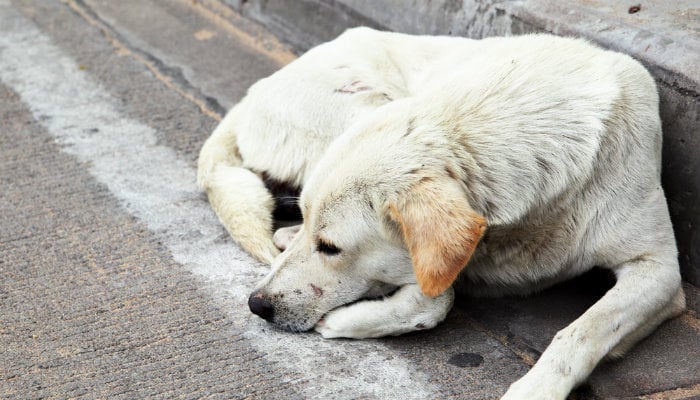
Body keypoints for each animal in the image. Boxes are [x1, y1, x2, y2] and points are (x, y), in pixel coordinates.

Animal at [196, 28, 684, 400]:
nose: (256, 304)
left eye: (331, 247)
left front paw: (536, 388)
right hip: (361, 105)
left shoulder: (660, 270)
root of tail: (251, 94)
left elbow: (581, 332)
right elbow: (438, 297)